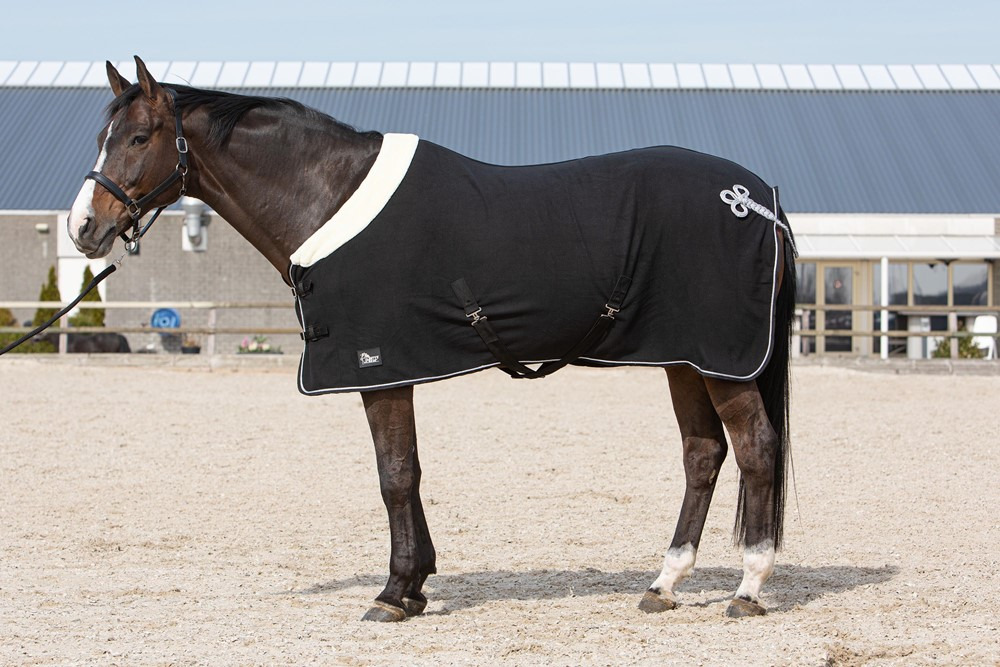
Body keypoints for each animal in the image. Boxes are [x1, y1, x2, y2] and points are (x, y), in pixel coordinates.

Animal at [67, 57, 796, 622]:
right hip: (685, 358)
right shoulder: (395, 370)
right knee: (703, 455)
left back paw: (748, 587)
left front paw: (393, 592)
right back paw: (664, 583)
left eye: (138, 137)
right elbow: (409, 471)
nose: (83, 228)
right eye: (100, 137)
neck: (329, 198)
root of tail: (755, 198)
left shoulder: (380, 368)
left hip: (721, 362)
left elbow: (395, 474)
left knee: (756, 448)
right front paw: (415, 585)